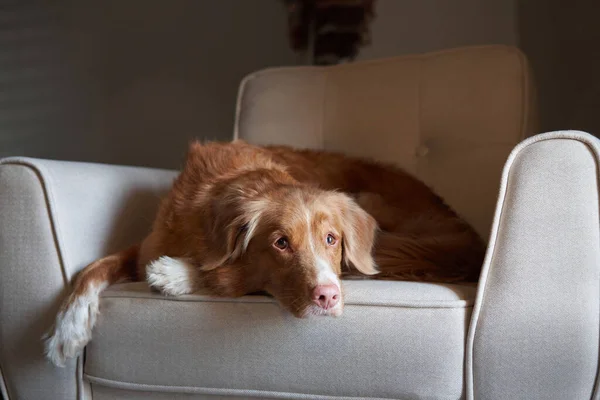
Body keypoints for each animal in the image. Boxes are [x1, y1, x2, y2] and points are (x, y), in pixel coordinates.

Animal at [44, 140, 486, 366]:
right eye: (281, 243)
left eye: (331, 239)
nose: (328, 297)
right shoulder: (144, 246)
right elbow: (94, 267)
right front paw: (68, 329)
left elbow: (228, 275)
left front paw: (175, 273)